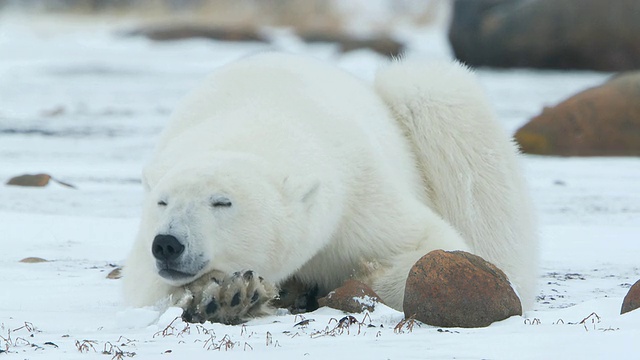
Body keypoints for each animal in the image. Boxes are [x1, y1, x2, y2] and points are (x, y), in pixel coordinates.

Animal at [122, 52, 536, 324]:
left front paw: (352, 281)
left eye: (222, 202)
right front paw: (228, 295)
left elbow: (433, 248)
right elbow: (145, 290)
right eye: (162, 202)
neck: (259, 115)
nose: (167, 244)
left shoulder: (360, 194)